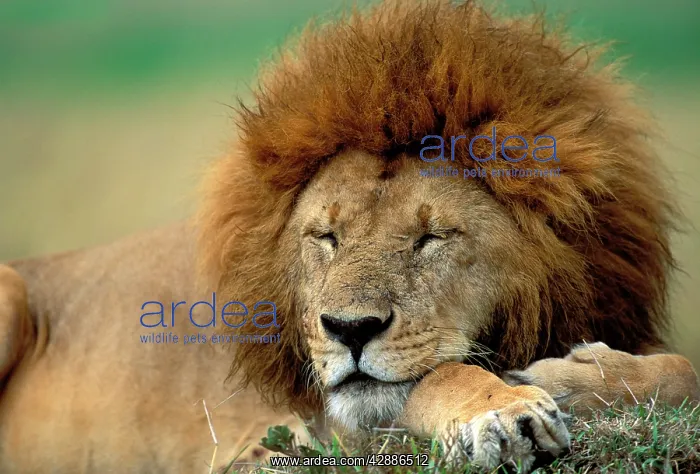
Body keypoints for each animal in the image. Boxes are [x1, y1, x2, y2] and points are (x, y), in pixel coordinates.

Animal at [1, 0, 699, 472]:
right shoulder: (297, 438)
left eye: (432, 237)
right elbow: (438, 377)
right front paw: (507, 407)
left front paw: (579, 378)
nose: (349, 330)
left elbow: (685, 369)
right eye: (326, 237)